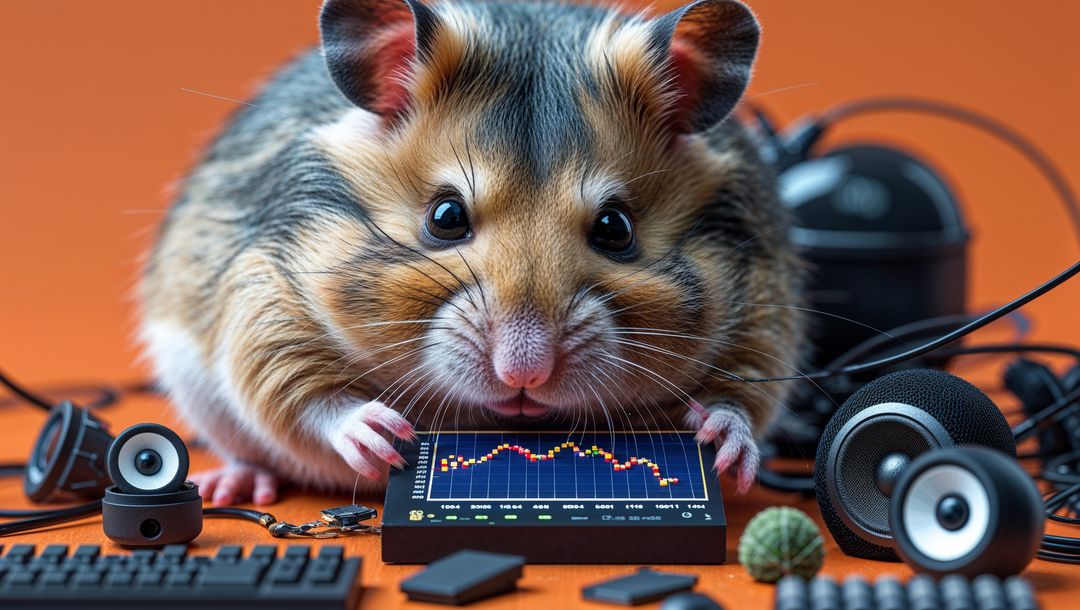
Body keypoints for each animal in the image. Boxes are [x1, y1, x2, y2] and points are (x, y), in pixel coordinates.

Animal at [140, 0, 804, 506]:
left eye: (616, 228)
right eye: (445, 218)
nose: (524, 375)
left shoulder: (761, 315)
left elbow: (742, 400)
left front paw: (723, 442)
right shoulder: (263, 302)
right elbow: (305, 399)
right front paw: (384, 437)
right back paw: (234, 485)